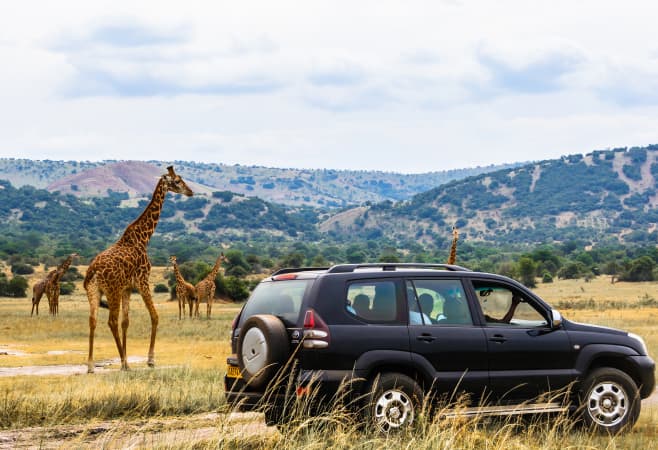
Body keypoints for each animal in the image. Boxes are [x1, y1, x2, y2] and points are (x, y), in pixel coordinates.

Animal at [84, 166, 193, 373]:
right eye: (177, 181)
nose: (191, 192)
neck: (144, 238)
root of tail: (93, 271)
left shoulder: (127, 288)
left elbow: (126, 322)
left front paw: (127, 357)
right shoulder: (142, 281)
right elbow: (155, 316)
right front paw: (150, 360)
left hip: (94, 291)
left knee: (93, 320)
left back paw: (92, 365)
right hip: (112, 291)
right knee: (111, 321)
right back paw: (123, 364)